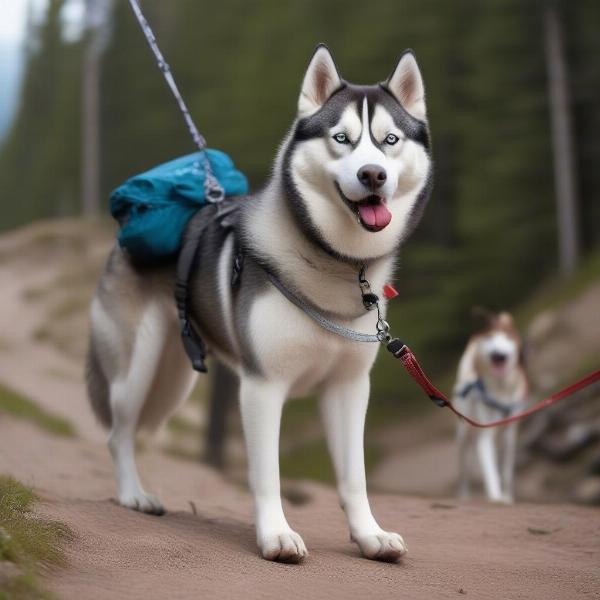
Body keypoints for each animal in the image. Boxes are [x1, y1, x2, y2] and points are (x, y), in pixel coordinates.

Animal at [86, 45, 432, 564]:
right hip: (138, 368)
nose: (373, 174)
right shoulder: (262, 386)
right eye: (342, 139)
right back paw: (133, 495)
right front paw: (276, 536)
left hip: (177, 375)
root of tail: (119, 242)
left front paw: (369, 535)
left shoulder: (349, 388)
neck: (336, 265)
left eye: (389, 140)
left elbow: (355, 476)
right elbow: (267, 474)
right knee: (117, 433)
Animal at [454, 312, 528, 504]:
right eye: (489, 338)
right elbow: (491, 471)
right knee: (464, 472)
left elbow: (507, 472)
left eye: (508, 338)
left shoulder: (510, 434)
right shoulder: (485, 438)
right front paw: (496, 498)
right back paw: (464, 496)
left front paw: (507, 497)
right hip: (464, 435)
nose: (497, 353)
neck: (501, 389)